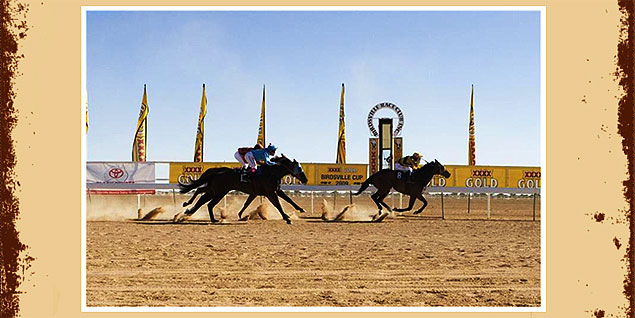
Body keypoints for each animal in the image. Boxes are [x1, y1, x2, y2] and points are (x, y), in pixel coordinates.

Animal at [178, 154, 310, 224]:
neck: (271, 173)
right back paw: (211, 218)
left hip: (213, 191)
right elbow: (278, 205)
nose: (305, 179)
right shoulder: (270, 192)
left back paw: (188, 210)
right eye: (299, 168)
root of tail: (216, 172)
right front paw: (287, 218)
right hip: (219, 192)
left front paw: (301, 209)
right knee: (208, 203)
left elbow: (289, 200)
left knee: (202, 197)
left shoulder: (272, 191)